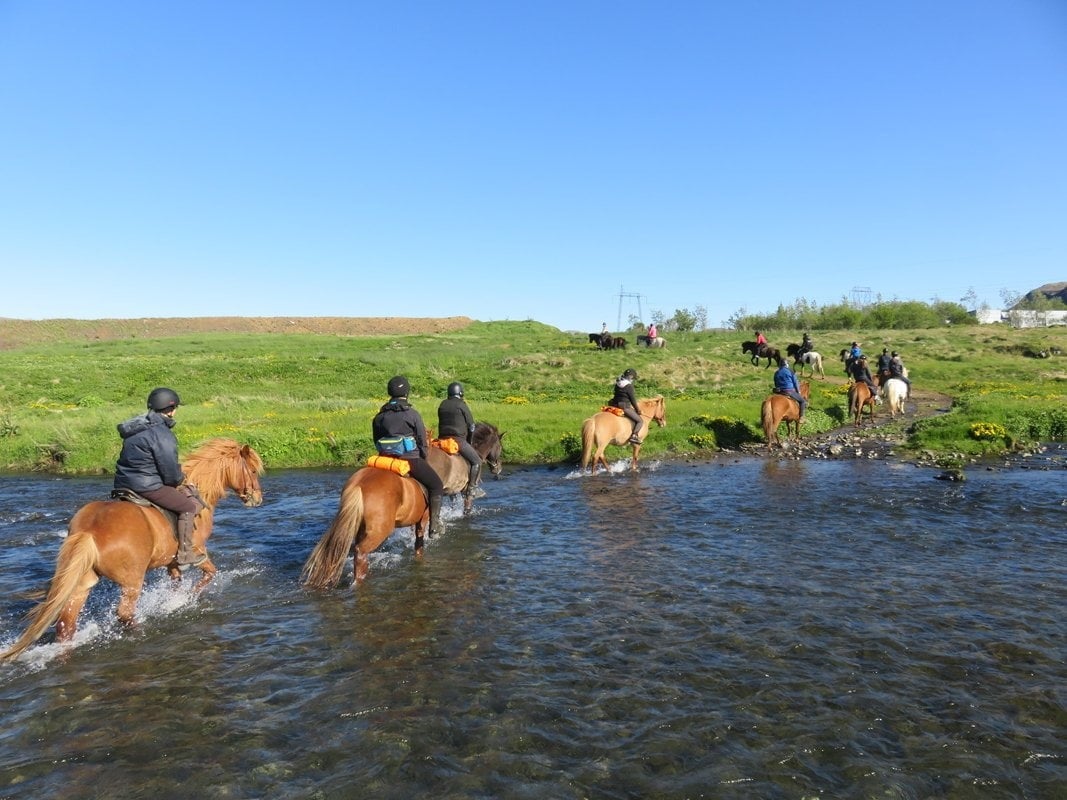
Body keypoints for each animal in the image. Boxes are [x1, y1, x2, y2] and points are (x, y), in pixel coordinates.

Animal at [0, 439, 264, 662]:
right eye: (252, 471)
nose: (257, 499)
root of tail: (88, 532)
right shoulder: (199, 553)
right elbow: (208, 575)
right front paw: (188, 598)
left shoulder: (171, 562)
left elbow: (176, 583)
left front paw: (174, 601)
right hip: (132, 581)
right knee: (124, 614)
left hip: (82, 583)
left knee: (66, 625)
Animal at [300, 422, 504, 588]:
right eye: (500, 447)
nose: (498, 468)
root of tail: (359, 485)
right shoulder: (433, 511)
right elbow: (422, 542)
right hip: (379, 530)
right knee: (360, 552)